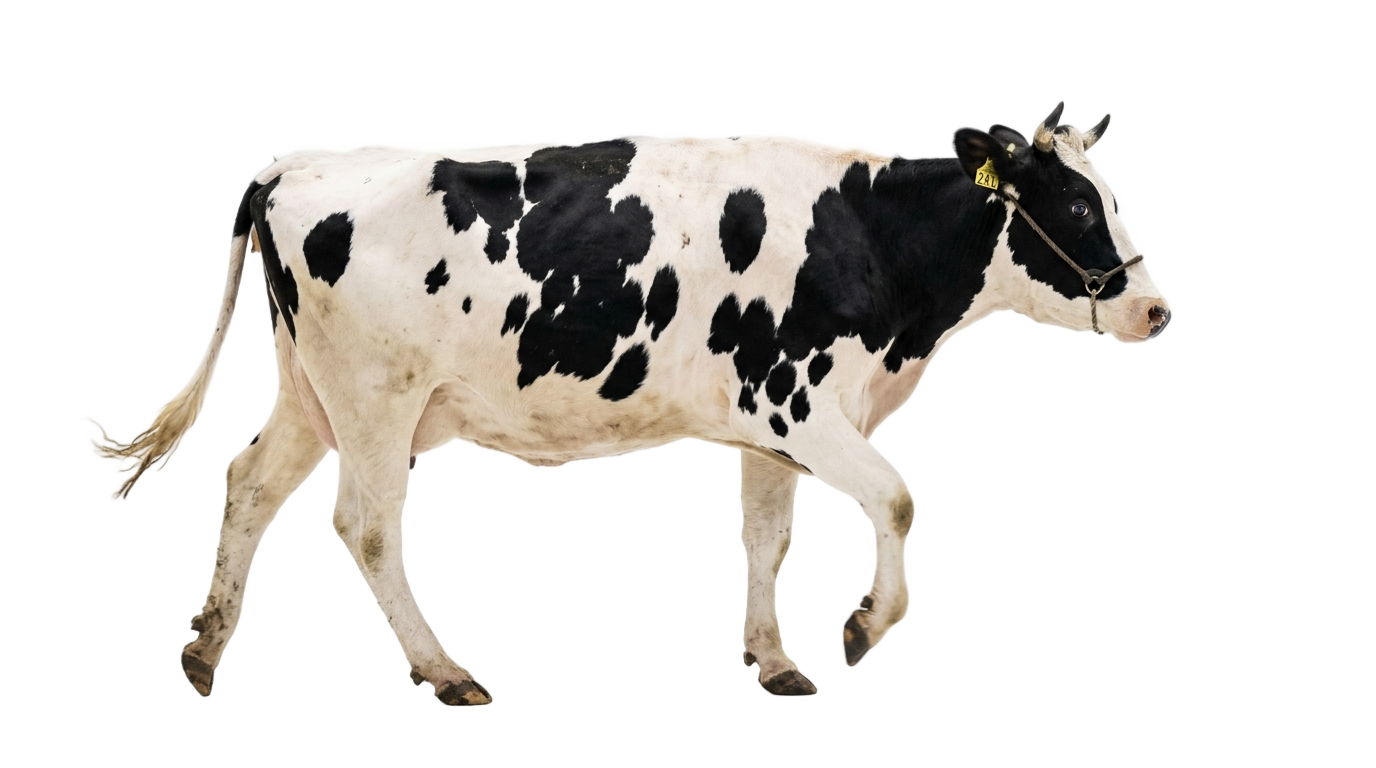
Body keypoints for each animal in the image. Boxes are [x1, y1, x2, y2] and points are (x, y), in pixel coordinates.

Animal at [101, 104, 1168, 707]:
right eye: (1078, 204)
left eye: (1116, 197)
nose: (1154, 306)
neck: (867, 238)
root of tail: (295, 167)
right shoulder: (797, 405)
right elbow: (898, 498)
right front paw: (864, 624)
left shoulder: (768, 433)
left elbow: (763, 539)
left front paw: (773, 661)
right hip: (375, 398)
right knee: (361, 527)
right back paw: (443, 674)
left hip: (309, 392)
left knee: (245, 488)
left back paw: (202, 652)